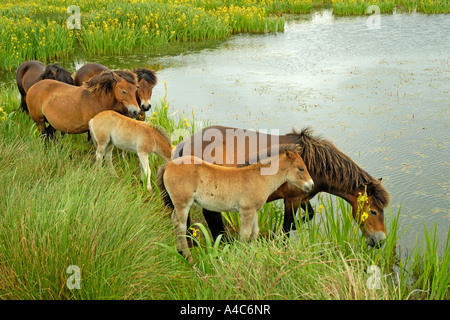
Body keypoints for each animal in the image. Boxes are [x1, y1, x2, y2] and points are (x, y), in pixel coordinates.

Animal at [157, 146, 312, 264]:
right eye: (301, 168)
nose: (311, 185)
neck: (259, 178)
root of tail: (168, 165)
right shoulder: (246, 211)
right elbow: (245, 234)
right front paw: (242, 257)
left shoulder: (254, 211)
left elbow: (255, 233)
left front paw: (252, 255)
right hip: (183, 204)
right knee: (181, 227)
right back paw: (188, 258)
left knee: (174, 221)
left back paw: (179, 252)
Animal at [172, 125, 390, 248]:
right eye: (373, 211)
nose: (380, 241)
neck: (312, 162)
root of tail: (186, 143)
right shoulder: (291, 199)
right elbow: (287, 227)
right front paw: (278, 244)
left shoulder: (302, 198)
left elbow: (307, 217)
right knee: (212, 217)